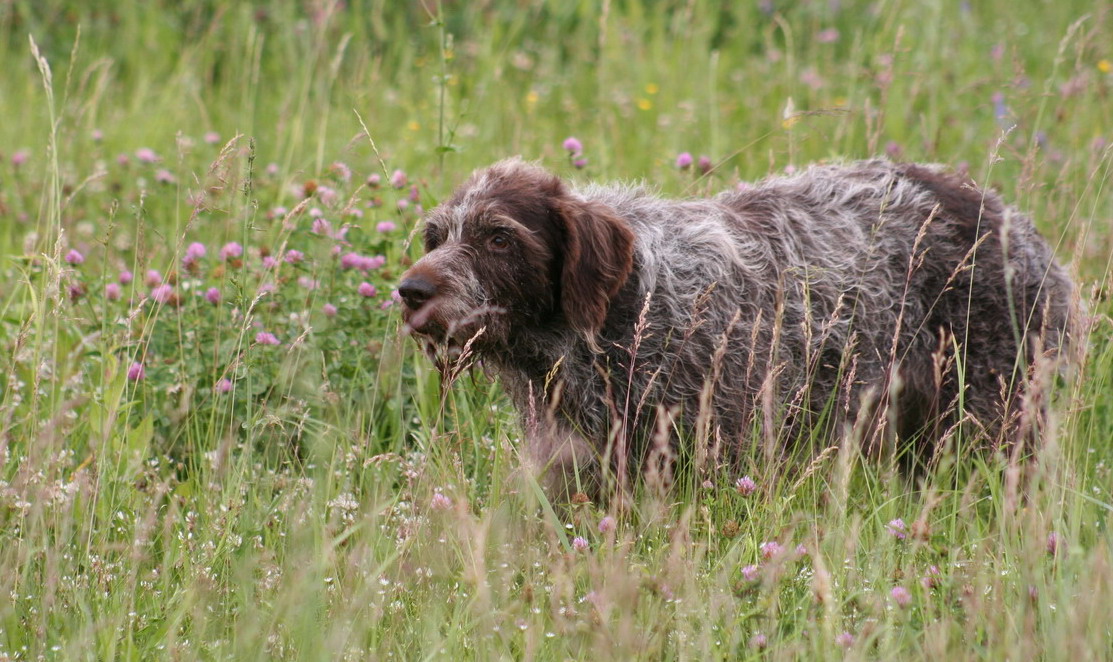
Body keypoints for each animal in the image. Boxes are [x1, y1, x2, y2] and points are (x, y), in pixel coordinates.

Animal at [396, 156, 1072, 498]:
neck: (630, 309)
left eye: (499, 237)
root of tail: (1012, 222)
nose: (410, 292)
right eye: (436, 237)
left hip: (991, 412)